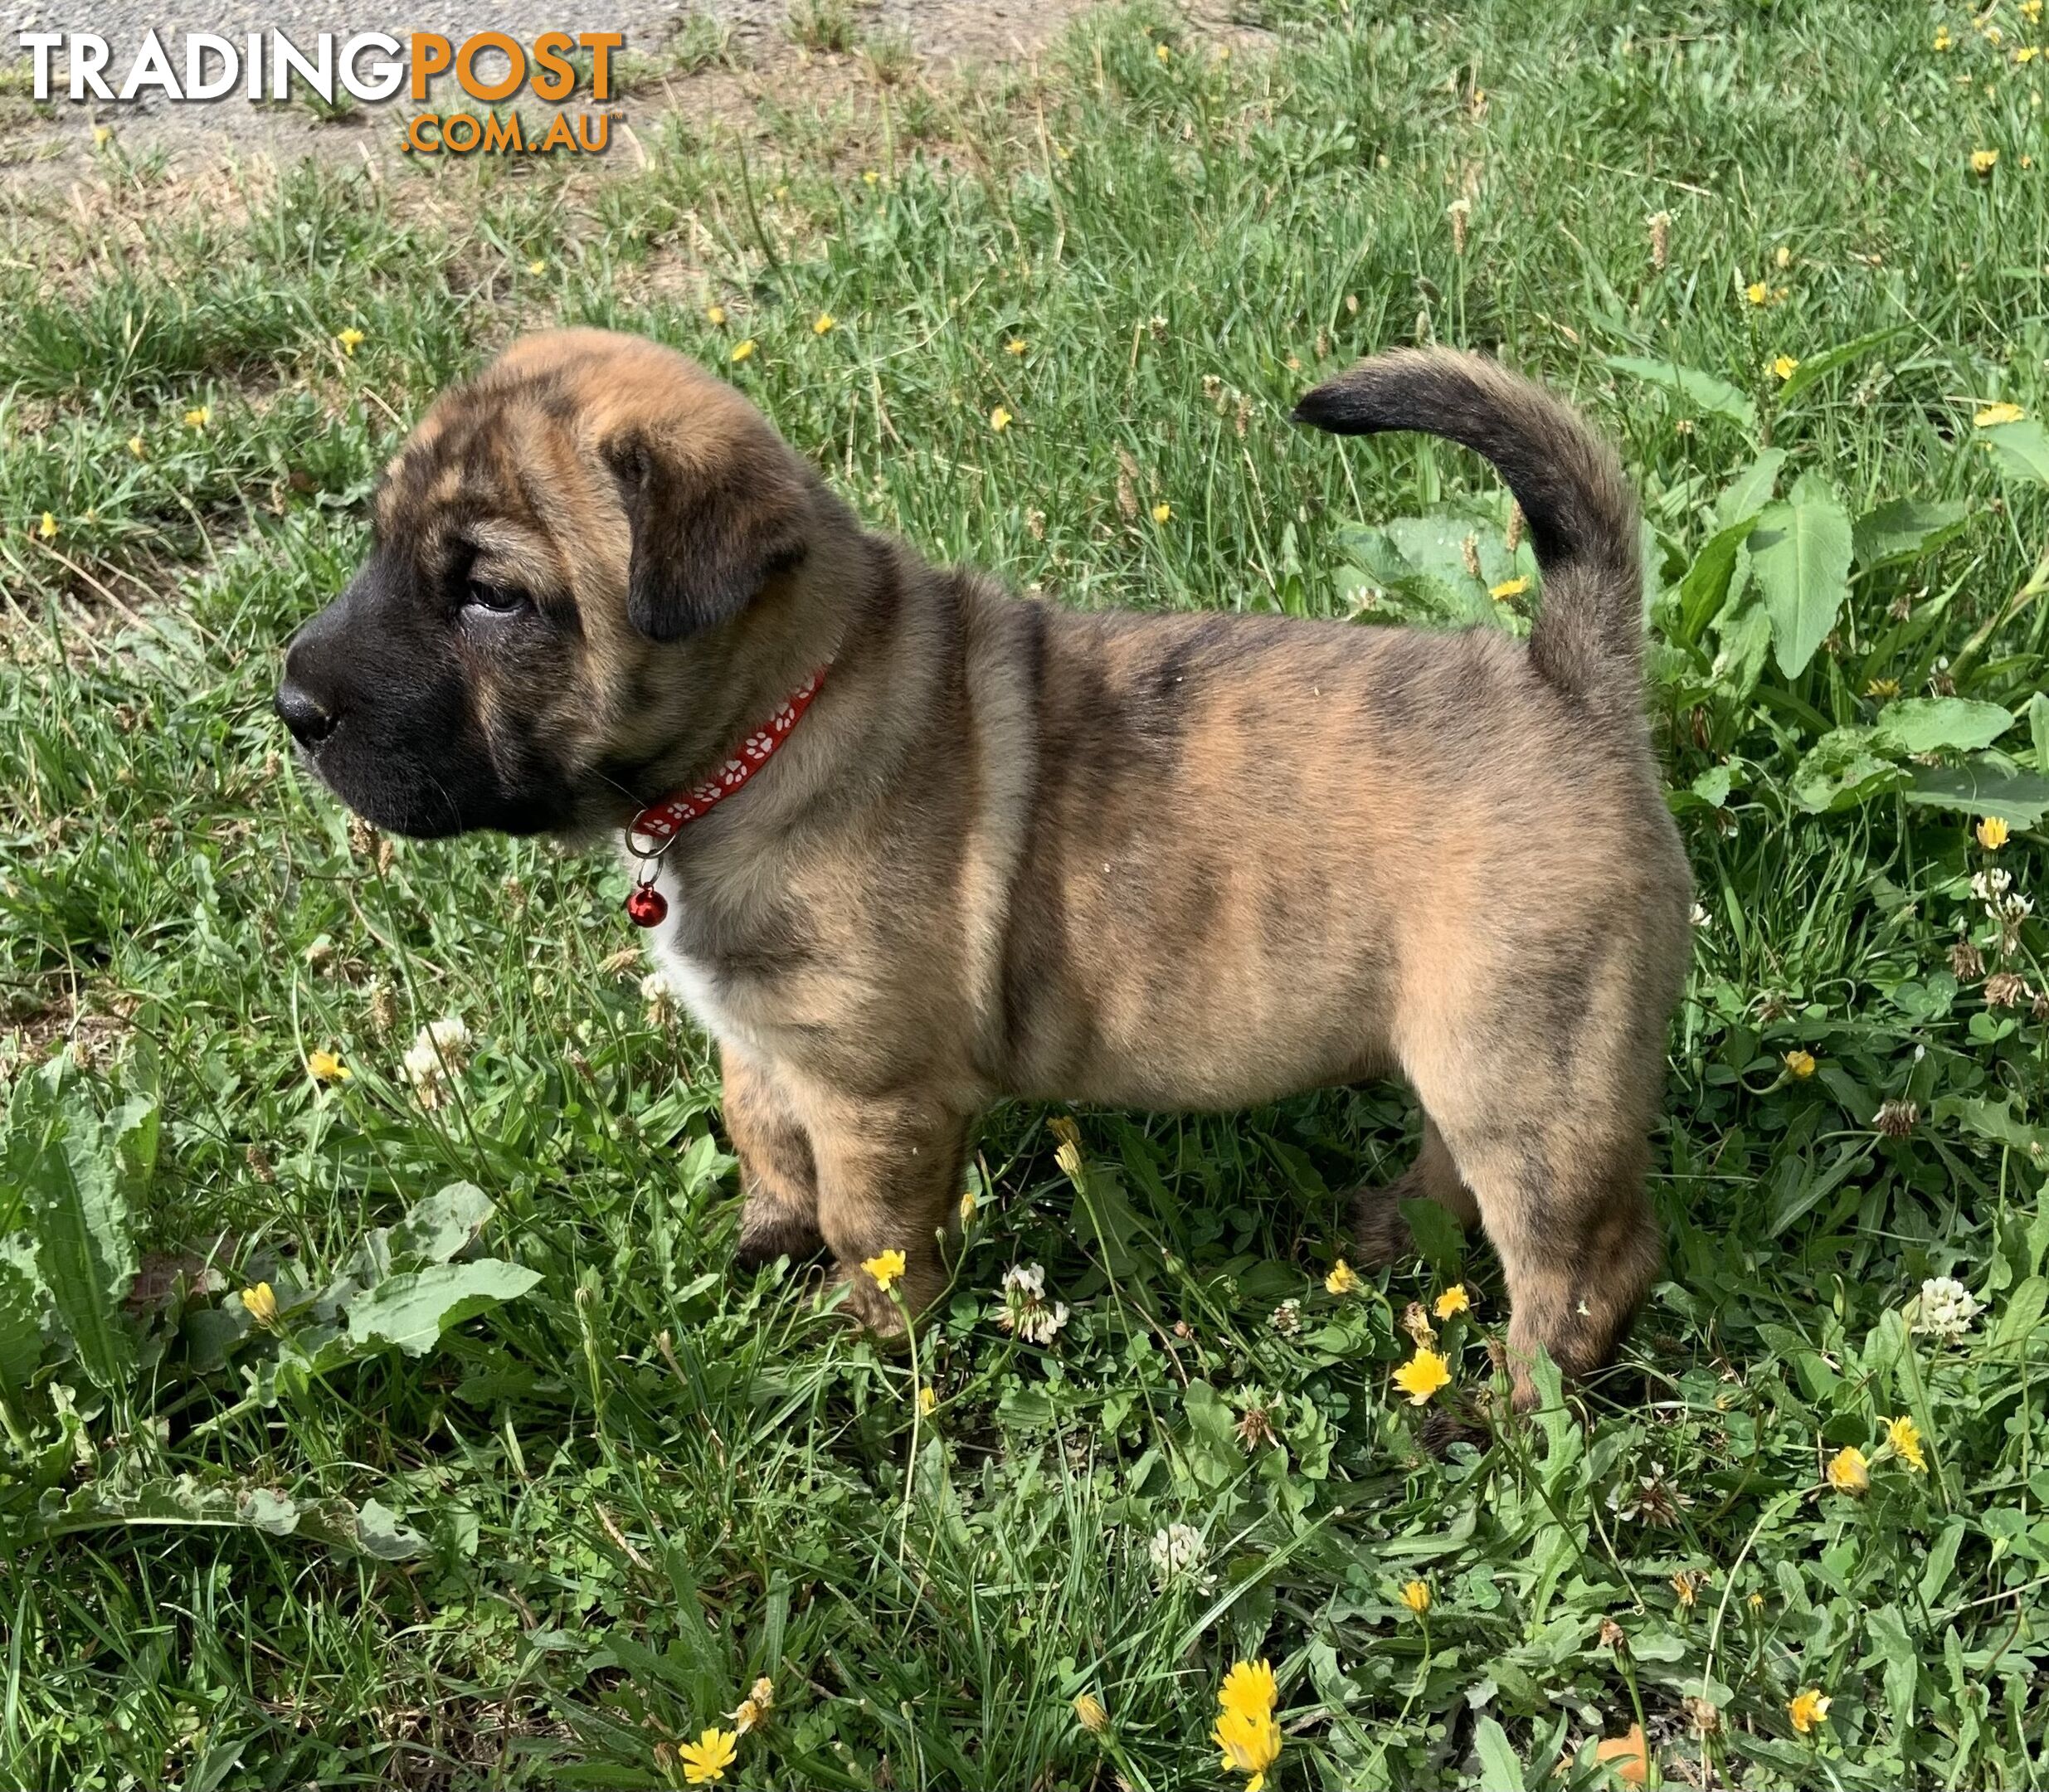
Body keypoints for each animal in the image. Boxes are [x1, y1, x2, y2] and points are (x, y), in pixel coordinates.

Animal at [280, 332, 1688, 1394]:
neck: (781, 719)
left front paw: (860, 1343)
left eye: (492, 596)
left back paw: (1512, 1411)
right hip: (1469, 1045)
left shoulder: (873, 1092)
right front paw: (760, 1251)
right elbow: (764, 1140)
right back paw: (1402, 1230)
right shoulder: (769, 1042)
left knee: (1581, 1262)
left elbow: (871, 1230)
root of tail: (1569, 685)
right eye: (379, 546)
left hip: (1523, 1063)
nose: (293, 704)